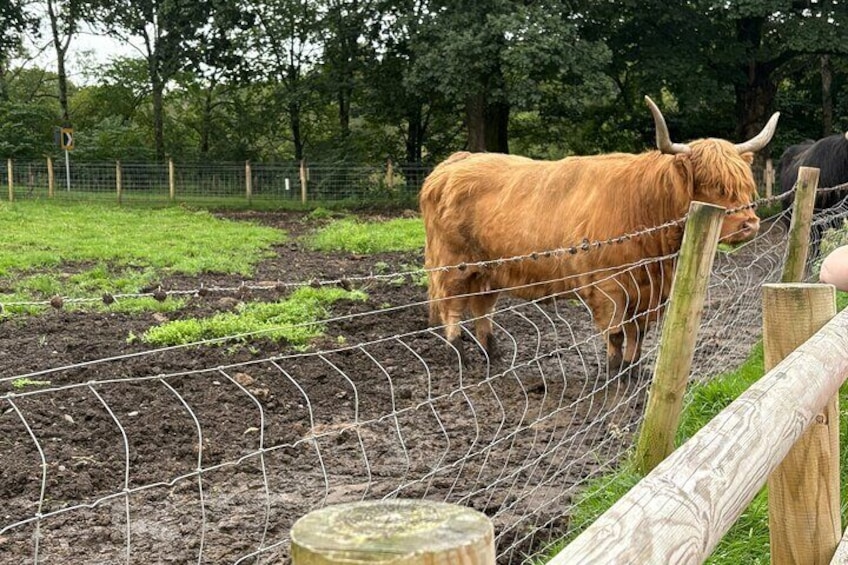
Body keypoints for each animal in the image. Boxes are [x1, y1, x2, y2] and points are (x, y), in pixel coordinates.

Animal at [420, 96, 779, 376]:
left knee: (482, 308)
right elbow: (616, 333)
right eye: (713, 185)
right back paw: (461, 355)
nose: (749, 224)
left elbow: (639, 332)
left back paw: (492, 355)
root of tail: (457, 161)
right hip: (453, 264)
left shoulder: (650, 289)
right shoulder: (609, 287)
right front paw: (613, 372)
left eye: (744, 183)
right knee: (452, 306)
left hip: (489, 270)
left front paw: (634, 370)